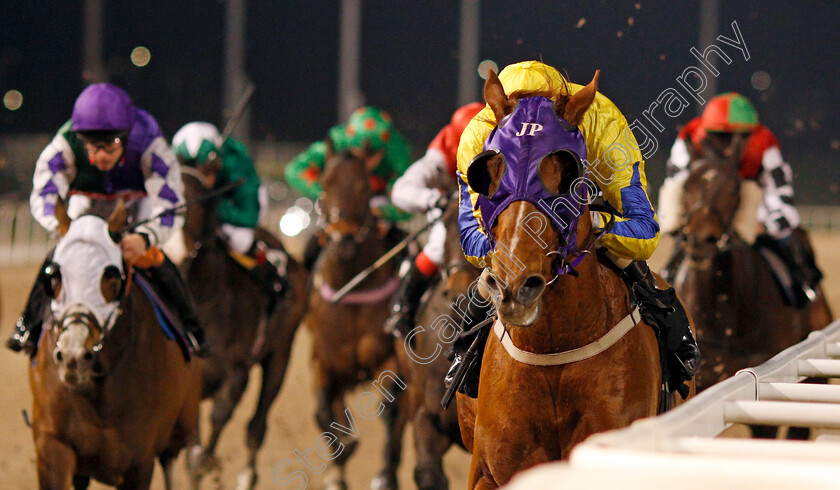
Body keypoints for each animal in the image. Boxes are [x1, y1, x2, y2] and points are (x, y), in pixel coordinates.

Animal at [28, 201, 202, 488]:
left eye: (111, 278)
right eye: (55, 278)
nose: (73, 356)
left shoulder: (139, 462)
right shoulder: (53, 445)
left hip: (180, 430)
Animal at [171, 168, 312, 490]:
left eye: (195, 201)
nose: (173, 252)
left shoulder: (237, 370)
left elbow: (220, 416)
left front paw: (209, 462)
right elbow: (192, 449)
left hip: (280, 354)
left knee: (257, 426)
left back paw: (247, 474)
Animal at [306, 149, 412, 490]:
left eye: (365, 188)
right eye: (324, 184)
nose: (345, 241)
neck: (351, 288)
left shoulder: (387, 358)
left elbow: (391, 408)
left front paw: (385, 476)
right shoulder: (323, 359)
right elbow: (322, 409)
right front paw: (340, 461)